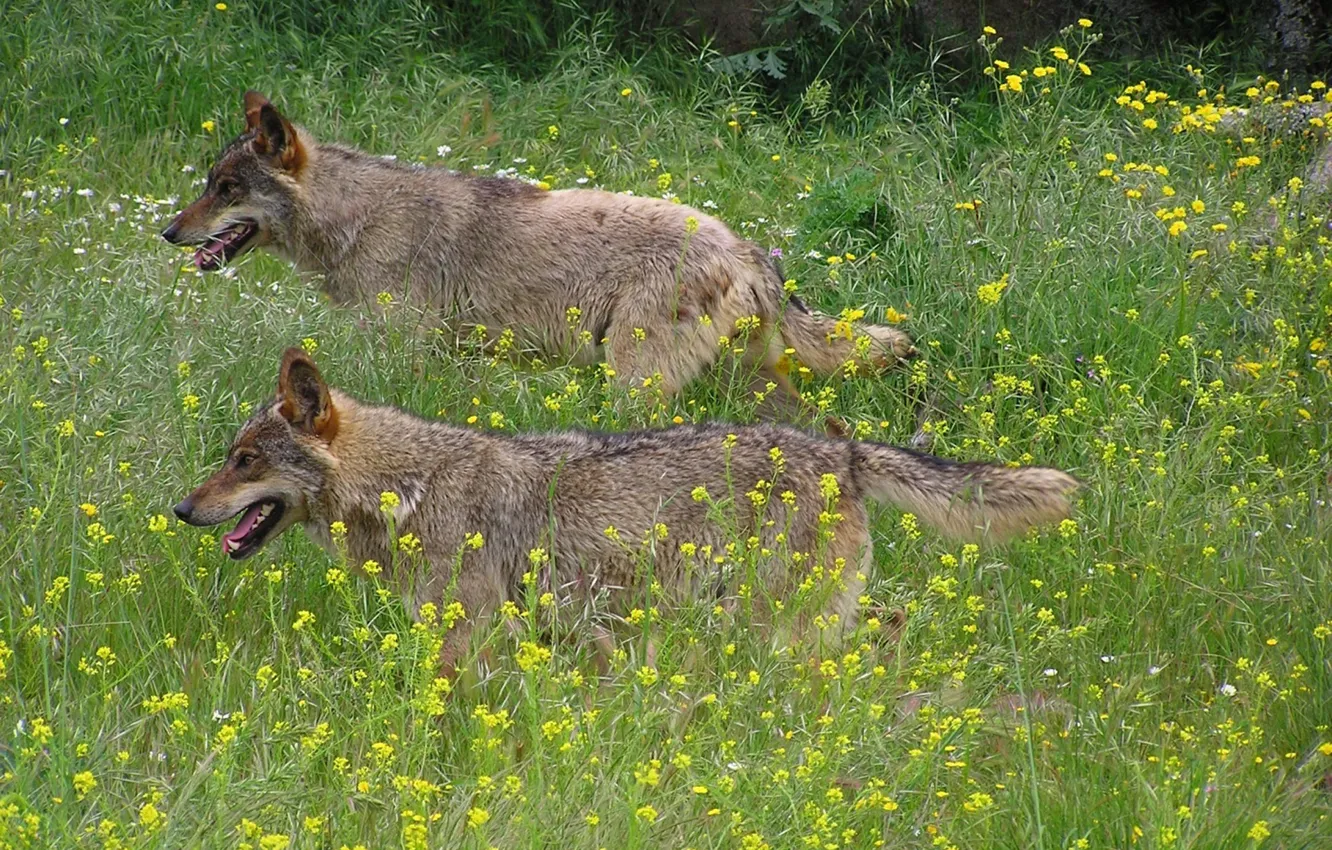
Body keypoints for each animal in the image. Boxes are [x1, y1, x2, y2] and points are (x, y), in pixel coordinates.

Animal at [174, 349, 1080, 677]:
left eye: (245, 461)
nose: (182, 508)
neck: (411, 485)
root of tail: (845, 454)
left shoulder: (468, 633)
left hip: (777, 623)